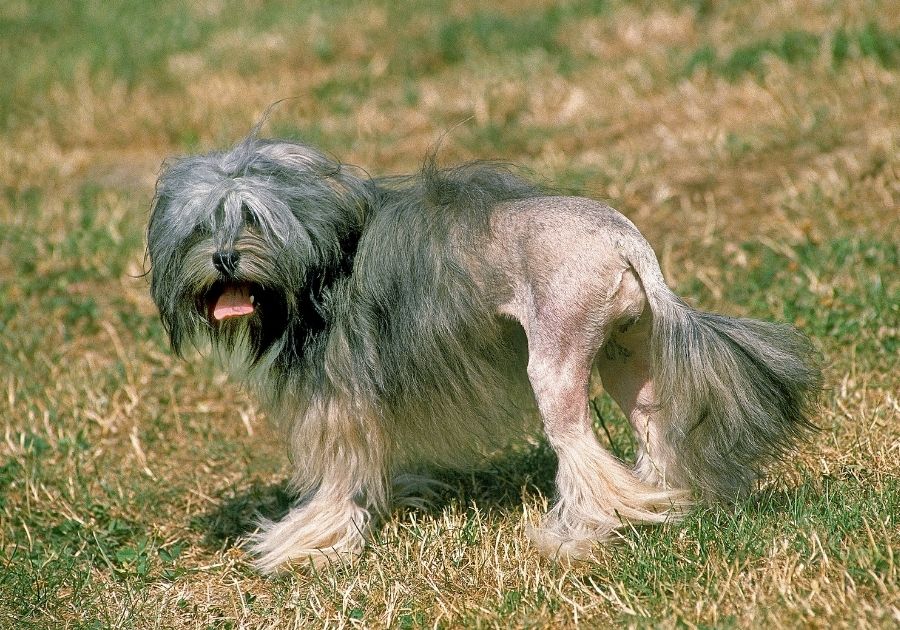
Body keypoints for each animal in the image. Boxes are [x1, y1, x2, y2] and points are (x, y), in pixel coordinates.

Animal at [148, 132, 824, 572]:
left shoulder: (339, 399)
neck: (321, 247)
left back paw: (578, 536)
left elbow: (340, 478)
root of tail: (625, 241)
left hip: (555, 360)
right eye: (202, 225)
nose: (223, 259)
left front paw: (302, 544)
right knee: (652, 434)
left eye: (253, 218)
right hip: (627, 357)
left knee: (580, 452)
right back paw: (660, 503)